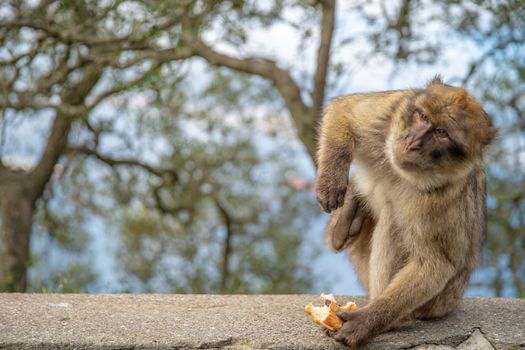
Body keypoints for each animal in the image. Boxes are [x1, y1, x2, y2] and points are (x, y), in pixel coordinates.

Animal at [314, 78, 498, 348]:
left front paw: (366, 322)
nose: (412, 142)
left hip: (439, 302)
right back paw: (346, 220)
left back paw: (395, 320)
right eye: (422, 116)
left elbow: (434, 265)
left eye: (441, 132)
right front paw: (331, 178)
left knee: (392, 220)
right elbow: (345, 109)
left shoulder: (440, 198)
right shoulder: (391, 110)